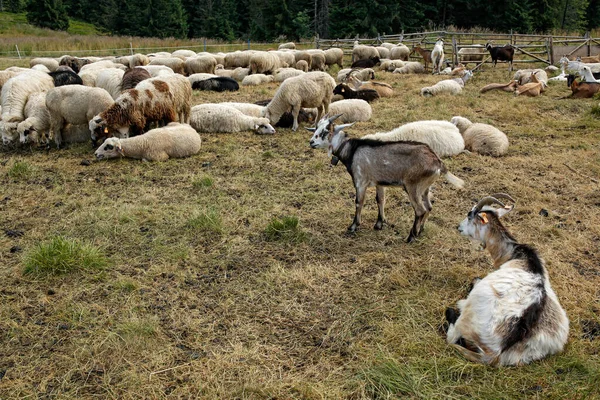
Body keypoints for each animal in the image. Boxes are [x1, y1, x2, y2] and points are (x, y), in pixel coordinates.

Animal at [310, 114, 464, 242]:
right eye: (316, 129)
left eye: (325, 132)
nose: (311, 142)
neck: (352, 150)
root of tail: (437, 162)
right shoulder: (379, 182)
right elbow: (380, 200)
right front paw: (379, 223)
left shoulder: (360, 181)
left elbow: (359, 202)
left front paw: (353, 226)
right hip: (425, 188)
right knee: (429, 207)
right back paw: (420, 231)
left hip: (413, 186)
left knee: (420, 210)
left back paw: (410, 237)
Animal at [448, 195, 568, 368]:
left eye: (470, 215)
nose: (459, 227)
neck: (515, 254)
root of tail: (494, 354)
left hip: (471, 310)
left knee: (452, 336)